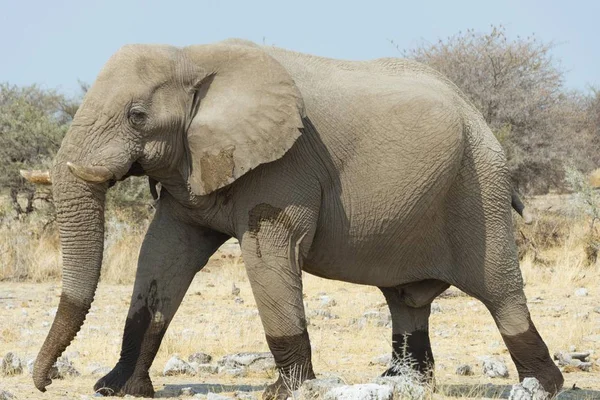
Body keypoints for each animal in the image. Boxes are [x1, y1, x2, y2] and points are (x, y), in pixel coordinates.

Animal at [28, 38, 564, 400]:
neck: (194, 55)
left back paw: (542, 384)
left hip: (479, 185)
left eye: (137, 115)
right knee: (406, 299)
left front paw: (284, 392)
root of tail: (479, 118)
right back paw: (402, 381)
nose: (45, 379)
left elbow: (269, 251)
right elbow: (163, 253)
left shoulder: (286, 163)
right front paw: (116, 388)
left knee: (500, 290)